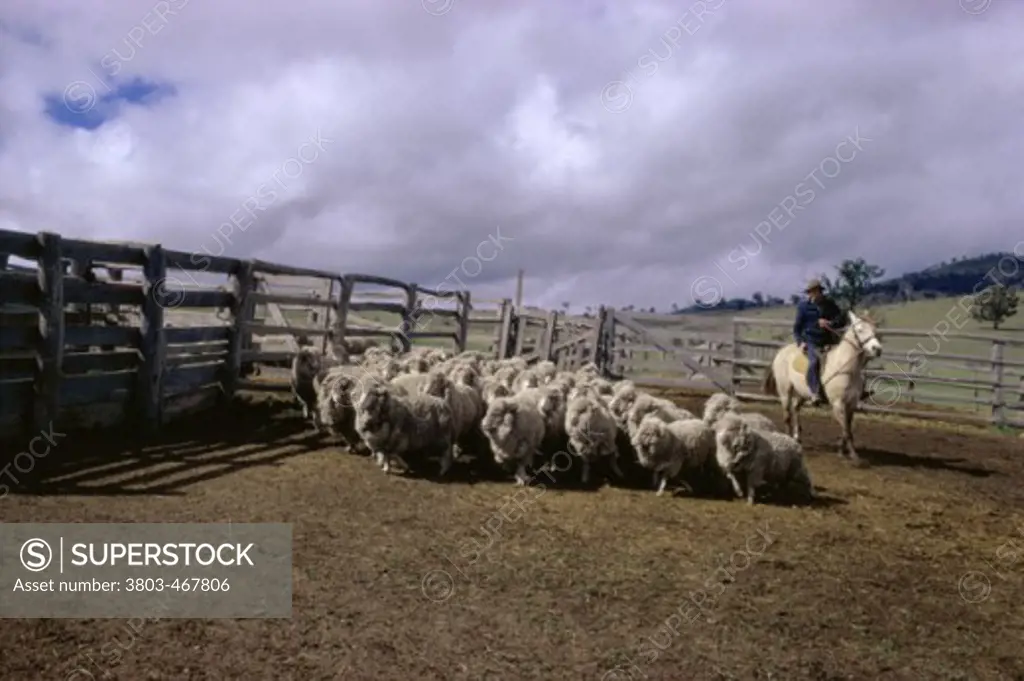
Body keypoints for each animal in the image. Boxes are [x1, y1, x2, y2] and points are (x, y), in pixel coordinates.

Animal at [765, 311, 884, 464]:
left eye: (875, 330)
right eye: (859, 330)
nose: (877, 349)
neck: (845, 367)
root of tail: (781, 352)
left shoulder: (851, 404)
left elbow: (848, 428)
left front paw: (841, 451)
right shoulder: (838, 404)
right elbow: (847, 430)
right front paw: (855, 457)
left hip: (803, 394)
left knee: (796, 408)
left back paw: (797, 438)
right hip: (785, 391)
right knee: (787, 415)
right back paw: (789, 440)